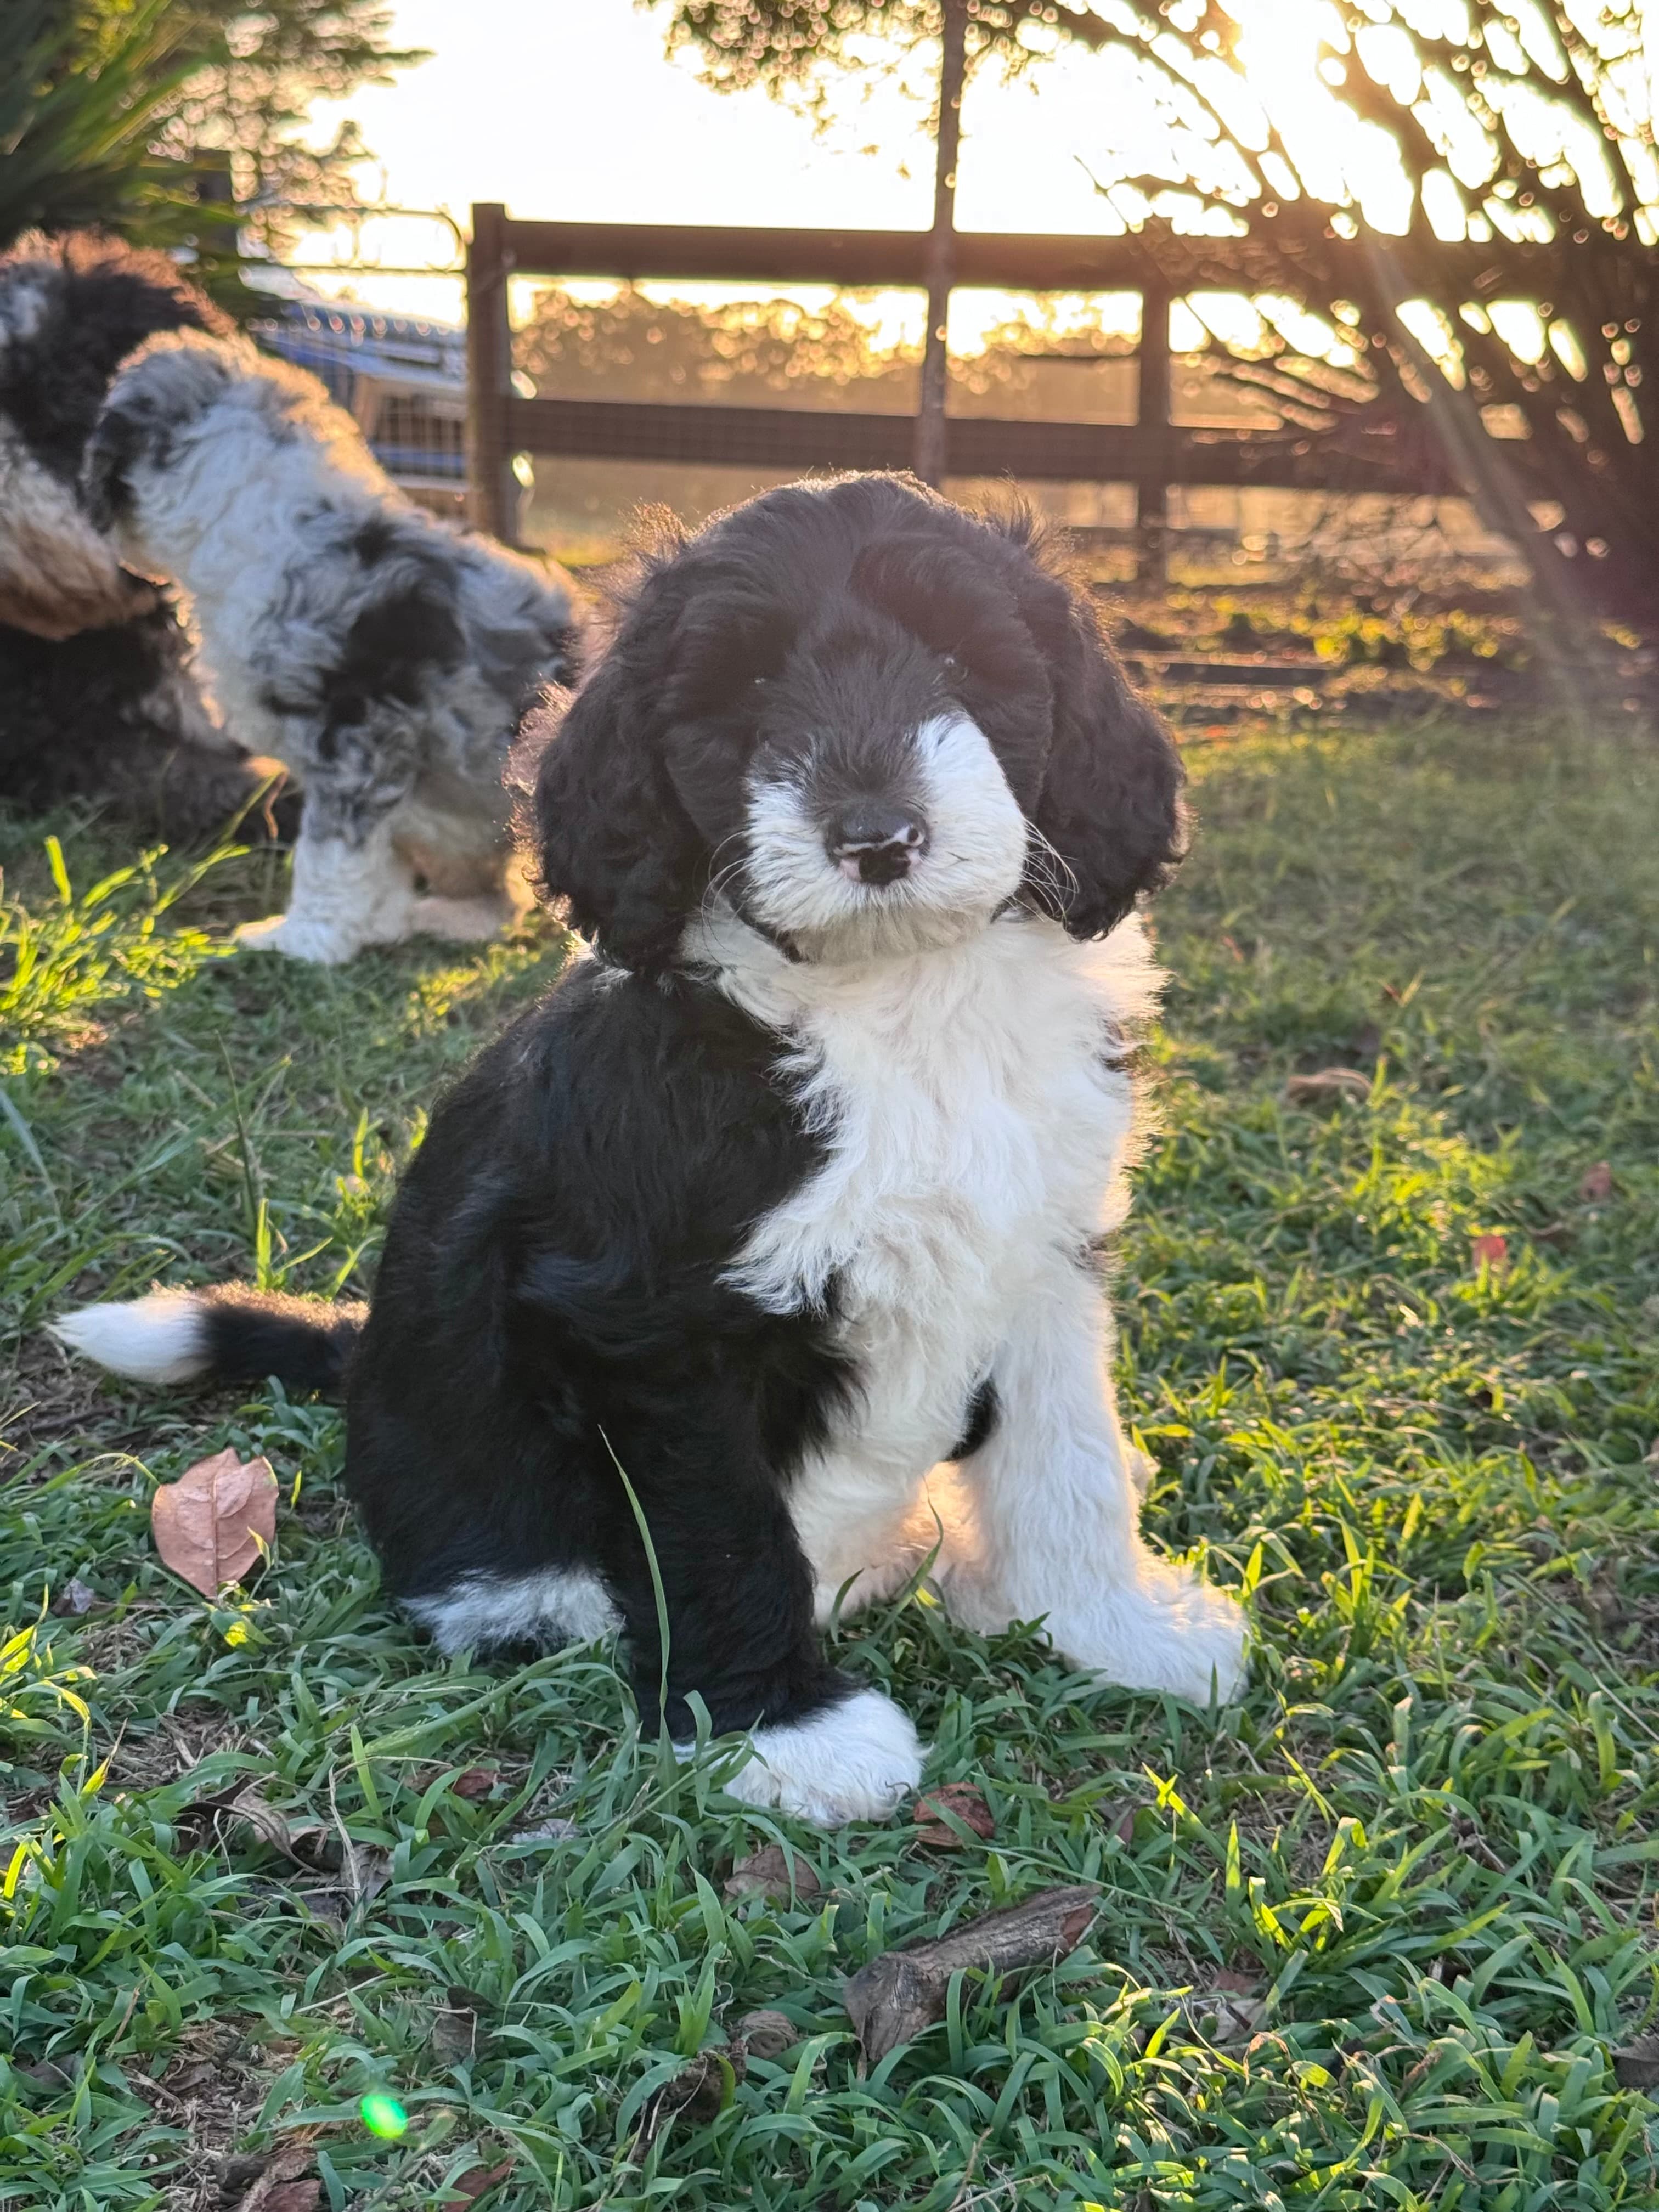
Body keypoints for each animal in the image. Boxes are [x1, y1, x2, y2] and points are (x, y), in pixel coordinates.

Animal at [55, 475, 1248, 1822]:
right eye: (748, 689)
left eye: (958, 661)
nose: (877, 836)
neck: (895, 1001)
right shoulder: (651, 1321)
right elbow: (714, 1522)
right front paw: (785, 1728)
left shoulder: (1040, 1253)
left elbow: (1068, 1454)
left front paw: (1111, 1625)